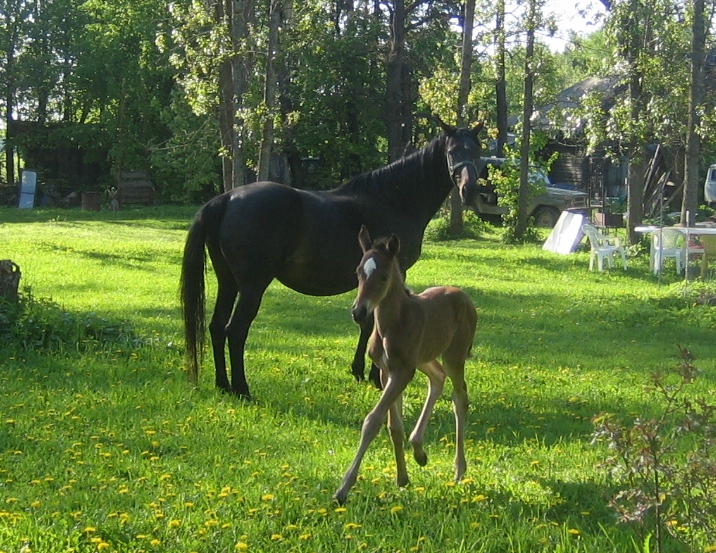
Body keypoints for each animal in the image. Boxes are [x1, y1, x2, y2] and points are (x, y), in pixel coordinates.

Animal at [179, 119, 484, 396]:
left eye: (477, 151)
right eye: (452, 152)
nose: (469, 190)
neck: (395, 200)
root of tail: (227, 198)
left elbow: (366, 322)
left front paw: (361, 371)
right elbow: (374, 322)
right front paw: (374, 376)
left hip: (228, 282)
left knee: (217, 326)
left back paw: (223, 384)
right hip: (252, 285)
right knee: (235, 329)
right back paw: (241, 388)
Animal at [334, 225, 478, 504]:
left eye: (383, 276)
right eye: (358, 272)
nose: (358, 312)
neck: (393, 323)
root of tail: (464, 295)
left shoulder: (402, 372)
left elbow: (373, 421)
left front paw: (343, 488)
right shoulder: (386, 372)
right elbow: (394, 427)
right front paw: (402, 477)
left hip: (453, 356)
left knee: (460, 398)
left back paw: (458, 469)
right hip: (424, 358)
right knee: (437, 378)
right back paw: (419, 450)